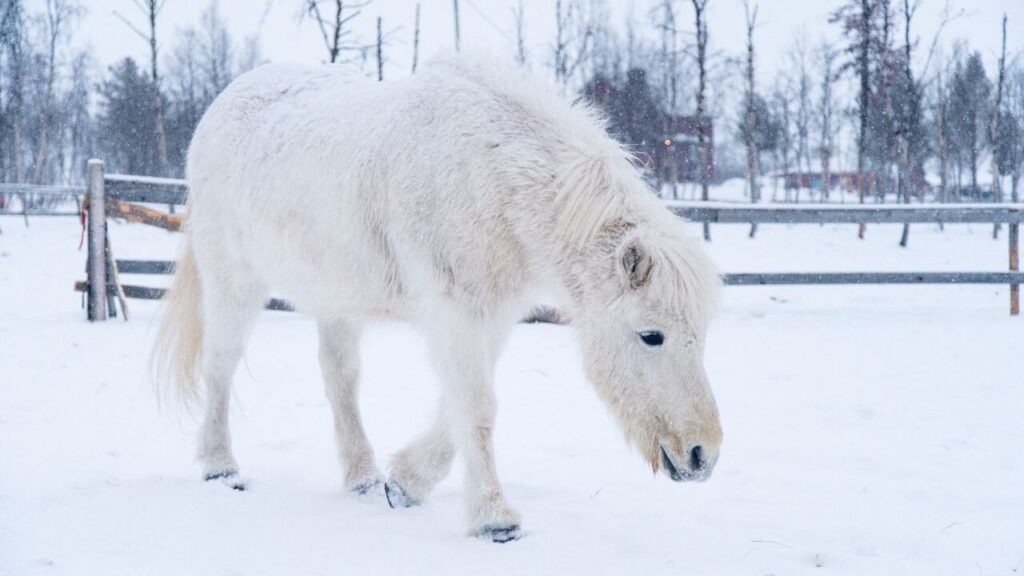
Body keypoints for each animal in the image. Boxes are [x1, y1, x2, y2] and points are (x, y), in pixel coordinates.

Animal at [152, 55, 723, 543]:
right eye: (651, 335)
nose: (703, 456)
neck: (490, 174)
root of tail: (226, 101)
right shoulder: (457, 314)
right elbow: (477, 407)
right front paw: (495, 519)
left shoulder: (490, 317)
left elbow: (460, 405)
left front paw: (403, 483)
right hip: (233, 281)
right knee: (221, 366)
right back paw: (221, 468)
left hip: (336, 301)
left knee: (340, 380)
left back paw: (362, 477)